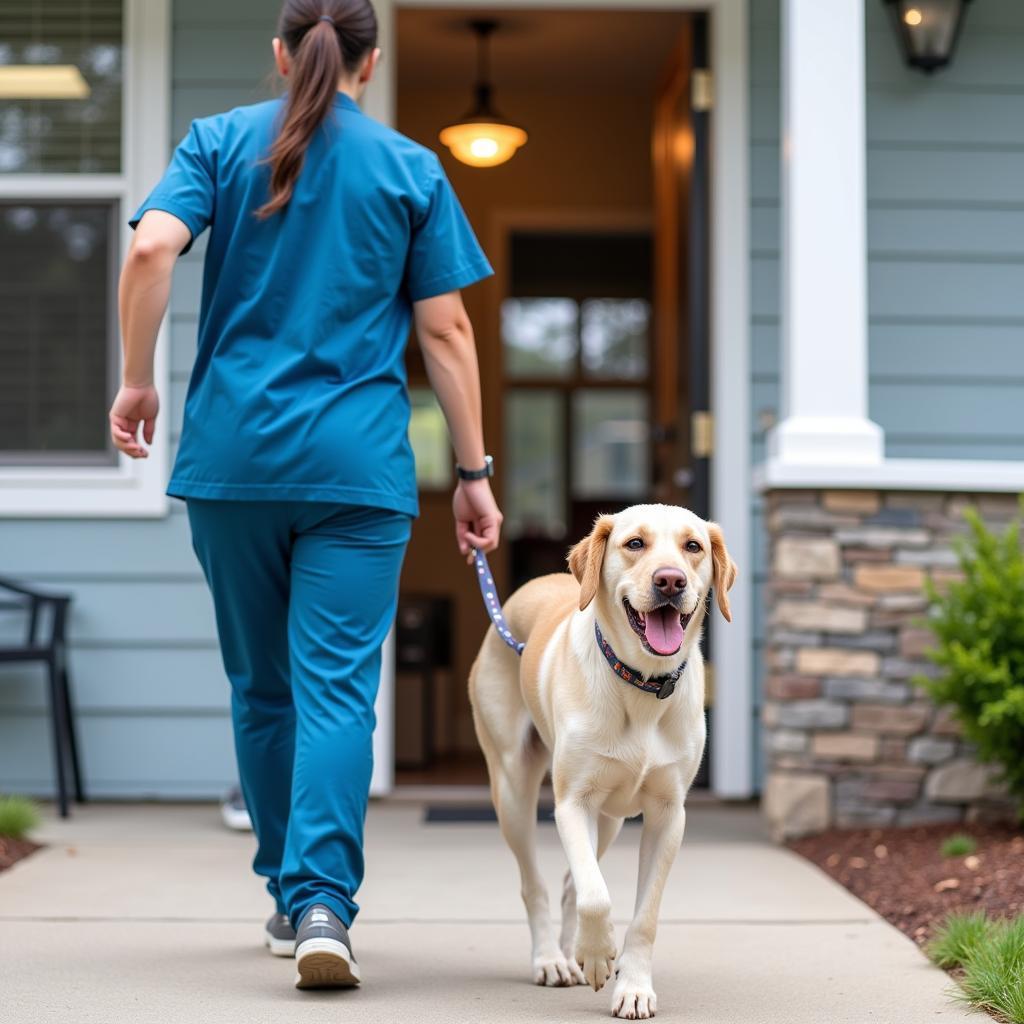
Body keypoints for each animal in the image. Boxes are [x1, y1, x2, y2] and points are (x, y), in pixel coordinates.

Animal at [468, 501, 733, 1015]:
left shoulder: (669, 815)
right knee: (539, 884)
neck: (643, 683)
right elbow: (596, 895)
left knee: (571, 882)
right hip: (513, 791)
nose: (670, 581)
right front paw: (595, 955)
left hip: (611, 819)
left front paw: (633, 985)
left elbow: (642, 915)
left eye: (693, 546)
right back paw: (552, 959)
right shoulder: (573, 803)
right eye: (635, 543)